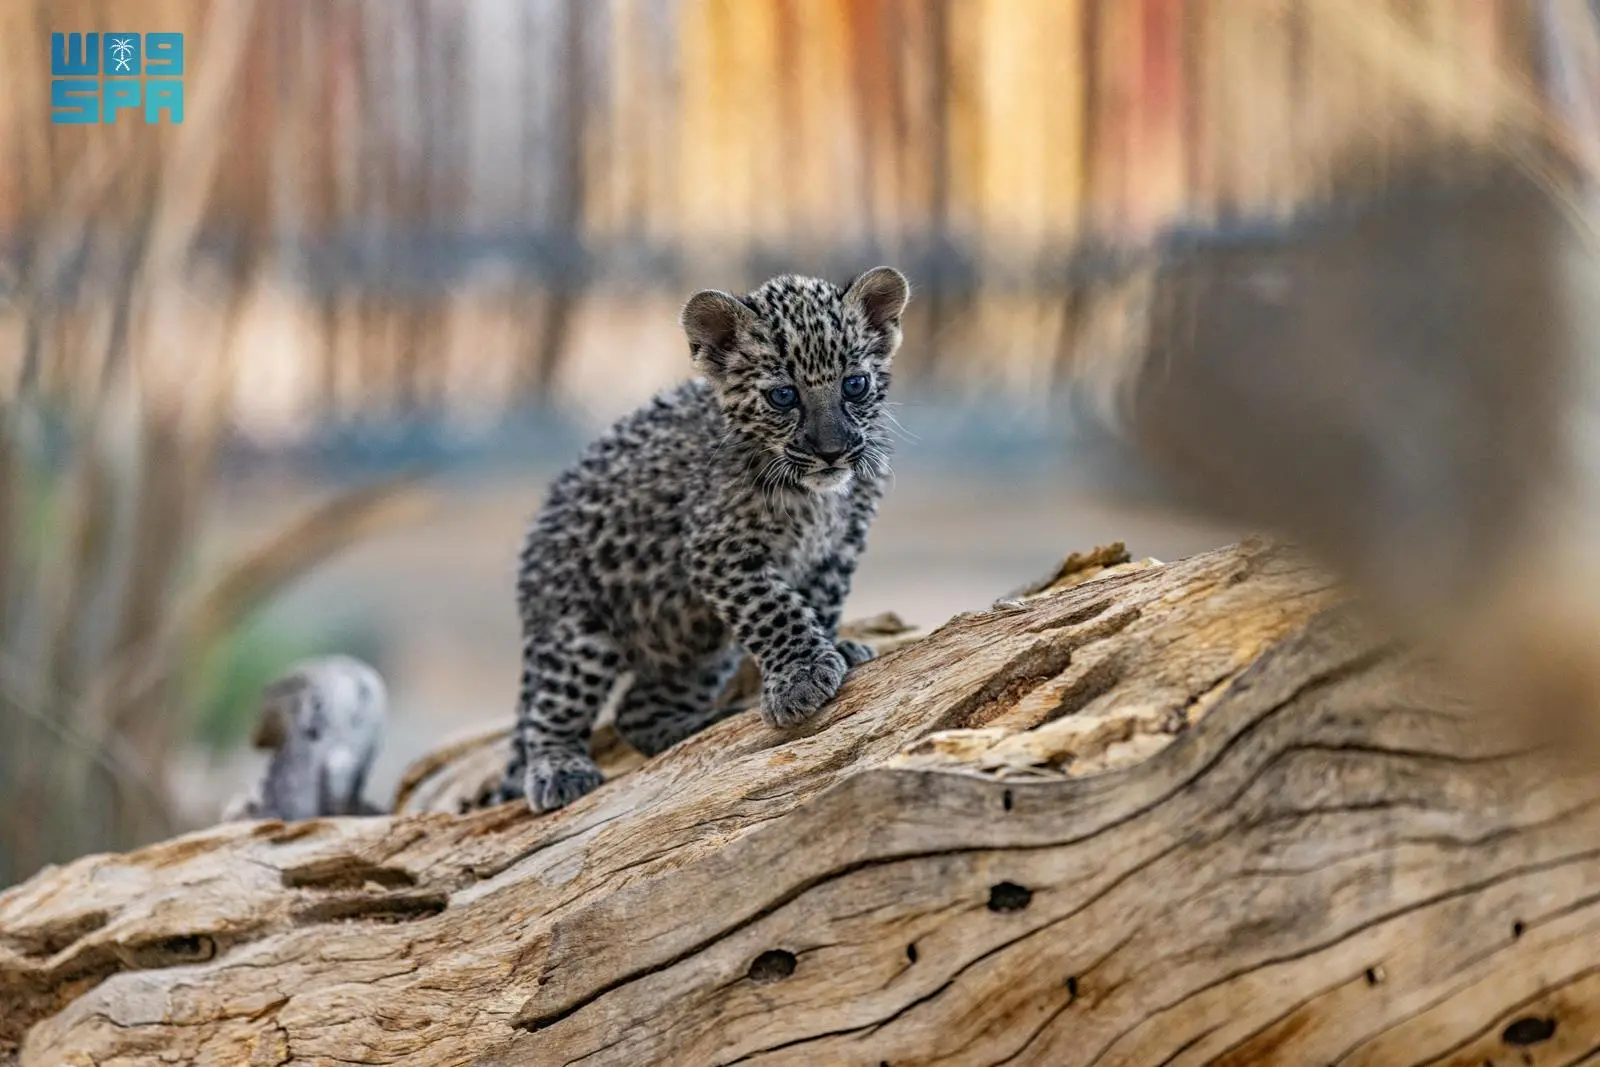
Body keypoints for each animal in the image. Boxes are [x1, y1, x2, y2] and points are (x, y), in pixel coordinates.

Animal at [499, 266, 910, 812]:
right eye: (783, 396)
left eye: (855, 384)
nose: (832, 452)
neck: (816, 497)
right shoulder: (719, 551)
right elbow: (774, 609)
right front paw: (800, 674)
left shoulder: (838, 547)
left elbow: (818, 602)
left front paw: (831, 650)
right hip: (580, 635)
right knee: (549, 714)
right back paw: (559, 769)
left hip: (702, 648)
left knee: (636, 713)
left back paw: (702, 725)